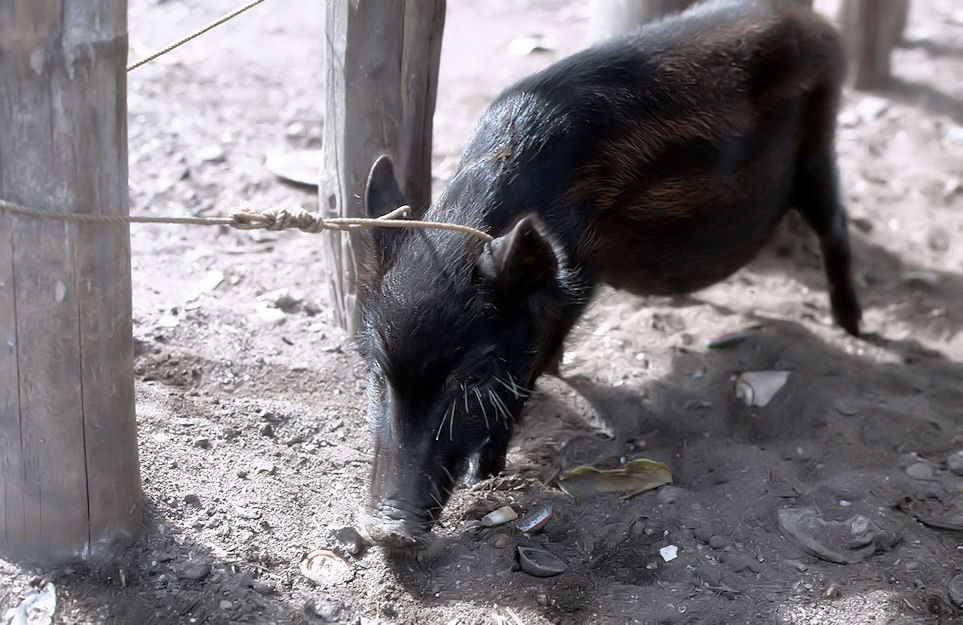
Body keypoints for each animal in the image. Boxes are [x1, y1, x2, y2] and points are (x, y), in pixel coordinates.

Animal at [358, 0, 864, 544]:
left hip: (818, 146)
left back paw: (854, 328)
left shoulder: (575, 282)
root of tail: (815, 24)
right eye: (378, 369)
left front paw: (484, 474)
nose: (385, 529)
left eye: (473, 376)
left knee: (836, 225)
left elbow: (527, 377)